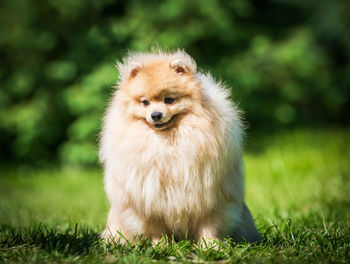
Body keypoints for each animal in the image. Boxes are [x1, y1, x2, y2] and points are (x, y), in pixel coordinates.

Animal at [98, 50, 260, 245]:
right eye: (145, 102)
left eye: (169, 100)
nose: (156, 115)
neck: (168, 141)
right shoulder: (149, 202)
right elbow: (156, 229)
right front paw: (160, 246)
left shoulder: (210, 198)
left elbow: (210, 226)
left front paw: (210, 246)